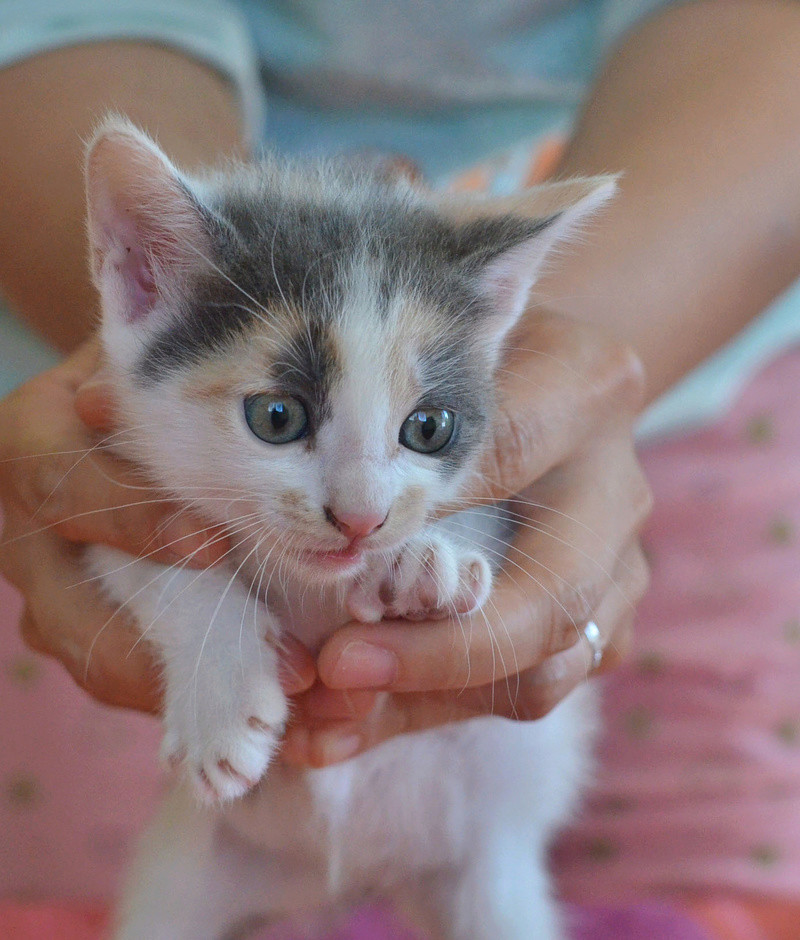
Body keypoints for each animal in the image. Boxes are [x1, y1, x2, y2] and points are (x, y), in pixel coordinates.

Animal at [86, 117, 612, 940]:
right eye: (277, 416)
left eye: (429, 427)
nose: (362, 518)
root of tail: (352, 883)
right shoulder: (108, 489)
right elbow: (163, 566)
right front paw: (220, 702)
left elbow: (482, 515)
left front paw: (430, 563)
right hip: (181, 878)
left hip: (490, 886)